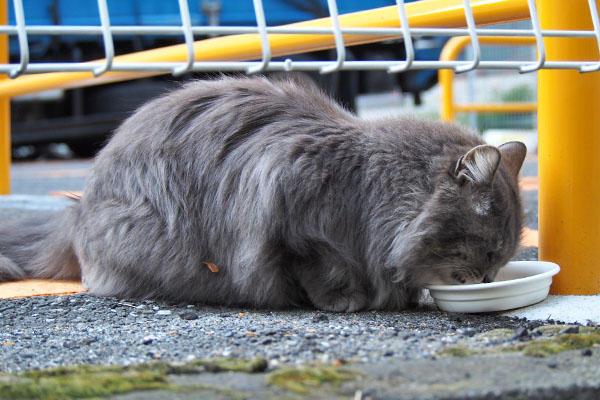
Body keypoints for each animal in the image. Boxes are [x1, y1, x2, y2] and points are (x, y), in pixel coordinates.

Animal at [0, 76, 524, 312]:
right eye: (491, 252)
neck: (367, 186)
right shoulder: (291, 219)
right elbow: (322, 270)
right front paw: (345, 300)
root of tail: (79, 209)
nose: (487, 278)